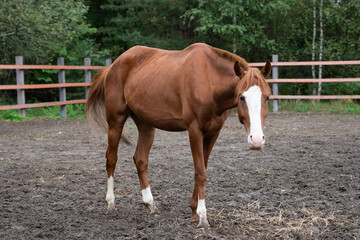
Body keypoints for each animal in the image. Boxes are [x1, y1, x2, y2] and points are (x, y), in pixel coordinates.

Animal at [86, 42, 272, 227]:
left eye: (267, 97)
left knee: (140, 159)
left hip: (146, 126)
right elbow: (200, 172)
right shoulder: (194, 131)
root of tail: (113, 66)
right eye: (241, 97)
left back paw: (150, 203)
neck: (210, 81)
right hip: (115, 122)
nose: (256, 140)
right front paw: (202, 216)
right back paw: (110, 202)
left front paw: (194, 210)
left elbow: (203, 168)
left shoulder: (213, 133)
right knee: (111, 159)